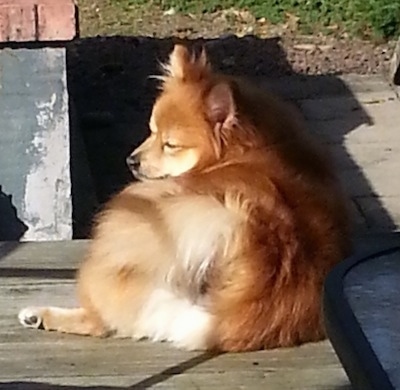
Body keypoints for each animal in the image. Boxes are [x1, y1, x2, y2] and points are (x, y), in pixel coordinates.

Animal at [18, 44, 350, 352]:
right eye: (151, 130)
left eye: (170, 145)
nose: (131, 161)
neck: (254, 149)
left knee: (102, 319)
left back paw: (38, 315)